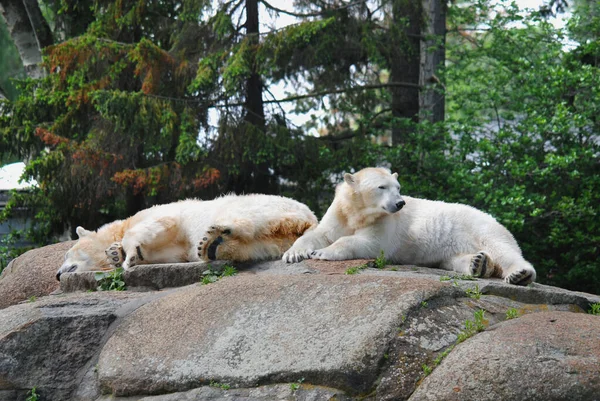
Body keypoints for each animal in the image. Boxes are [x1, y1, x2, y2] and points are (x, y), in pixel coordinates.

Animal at [56, 193, 318, 280]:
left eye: (68, 253)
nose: (58, 274)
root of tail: (308, 217)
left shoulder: (159, 215)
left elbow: (158, 225)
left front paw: (126, 255)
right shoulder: (173, 246)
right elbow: (168, 251)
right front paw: (115, 252)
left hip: (261, 207)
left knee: (243, 218)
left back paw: (213, 236)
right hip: (275, 239)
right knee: (257, 246)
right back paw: (212, 247)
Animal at [284, 167, 536, 286]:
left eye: (398, 187)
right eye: (381, 187)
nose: (400, 203)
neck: (357, 213)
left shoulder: (386, 222)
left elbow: (370, 243)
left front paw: (322, 253)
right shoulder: (340, 213)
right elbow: (320, 233)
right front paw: (294, 253)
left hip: (479, 227)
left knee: (502, 248)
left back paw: (519, 274)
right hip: (453, 249)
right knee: (455, 260)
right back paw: (478, 263)